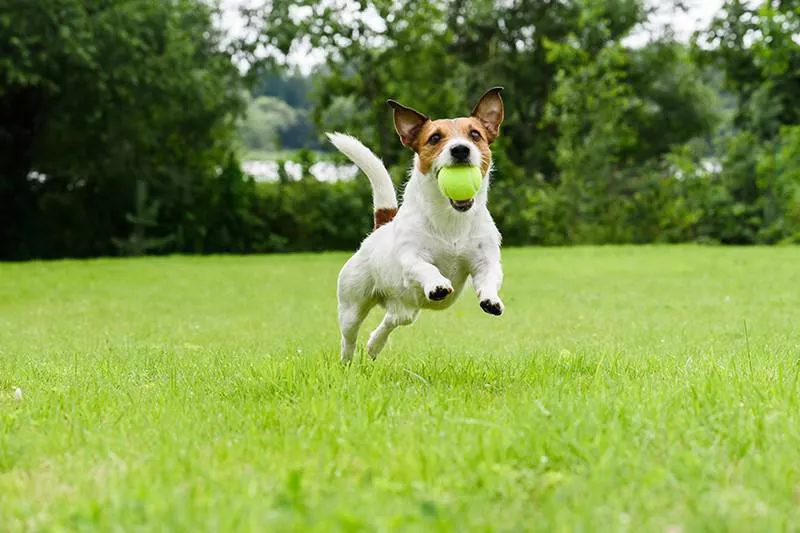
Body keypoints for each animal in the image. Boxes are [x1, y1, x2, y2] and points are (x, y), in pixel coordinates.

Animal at [326, 87, 504, 362]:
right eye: (434, 138)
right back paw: (347, 361)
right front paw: (438, 284)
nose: (460, 149)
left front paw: (491, 299)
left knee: (391, 320)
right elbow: (425, 267)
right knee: (348, 339)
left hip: (406, 310)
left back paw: (374, 345)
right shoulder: (411, 258)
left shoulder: (486, 260)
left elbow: (489, 277)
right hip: (351, 305)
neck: (450, 219)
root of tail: (380, 228)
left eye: (475, 134)